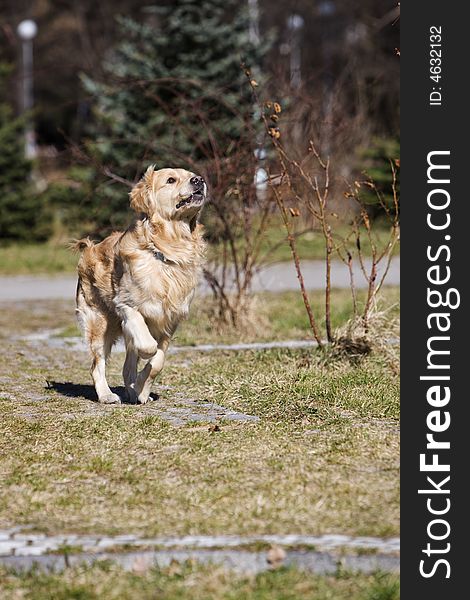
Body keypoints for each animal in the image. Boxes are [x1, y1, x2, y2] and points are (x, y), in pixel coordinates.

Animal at [73, 166, 206, 406]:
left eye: (191, 174)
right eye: (170, 180)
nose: (199, 180)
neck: (168, 251)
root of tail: (89, 248)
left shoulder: (170, 319)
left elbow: (158, 361)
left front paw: (143, 391)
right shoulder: (127, 306)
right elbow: (148, 347)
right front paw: (144, 366)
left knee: (127, 368)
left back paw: (134, 392)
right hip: (100, 323)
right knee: (97, 364)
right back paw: (106, 395)